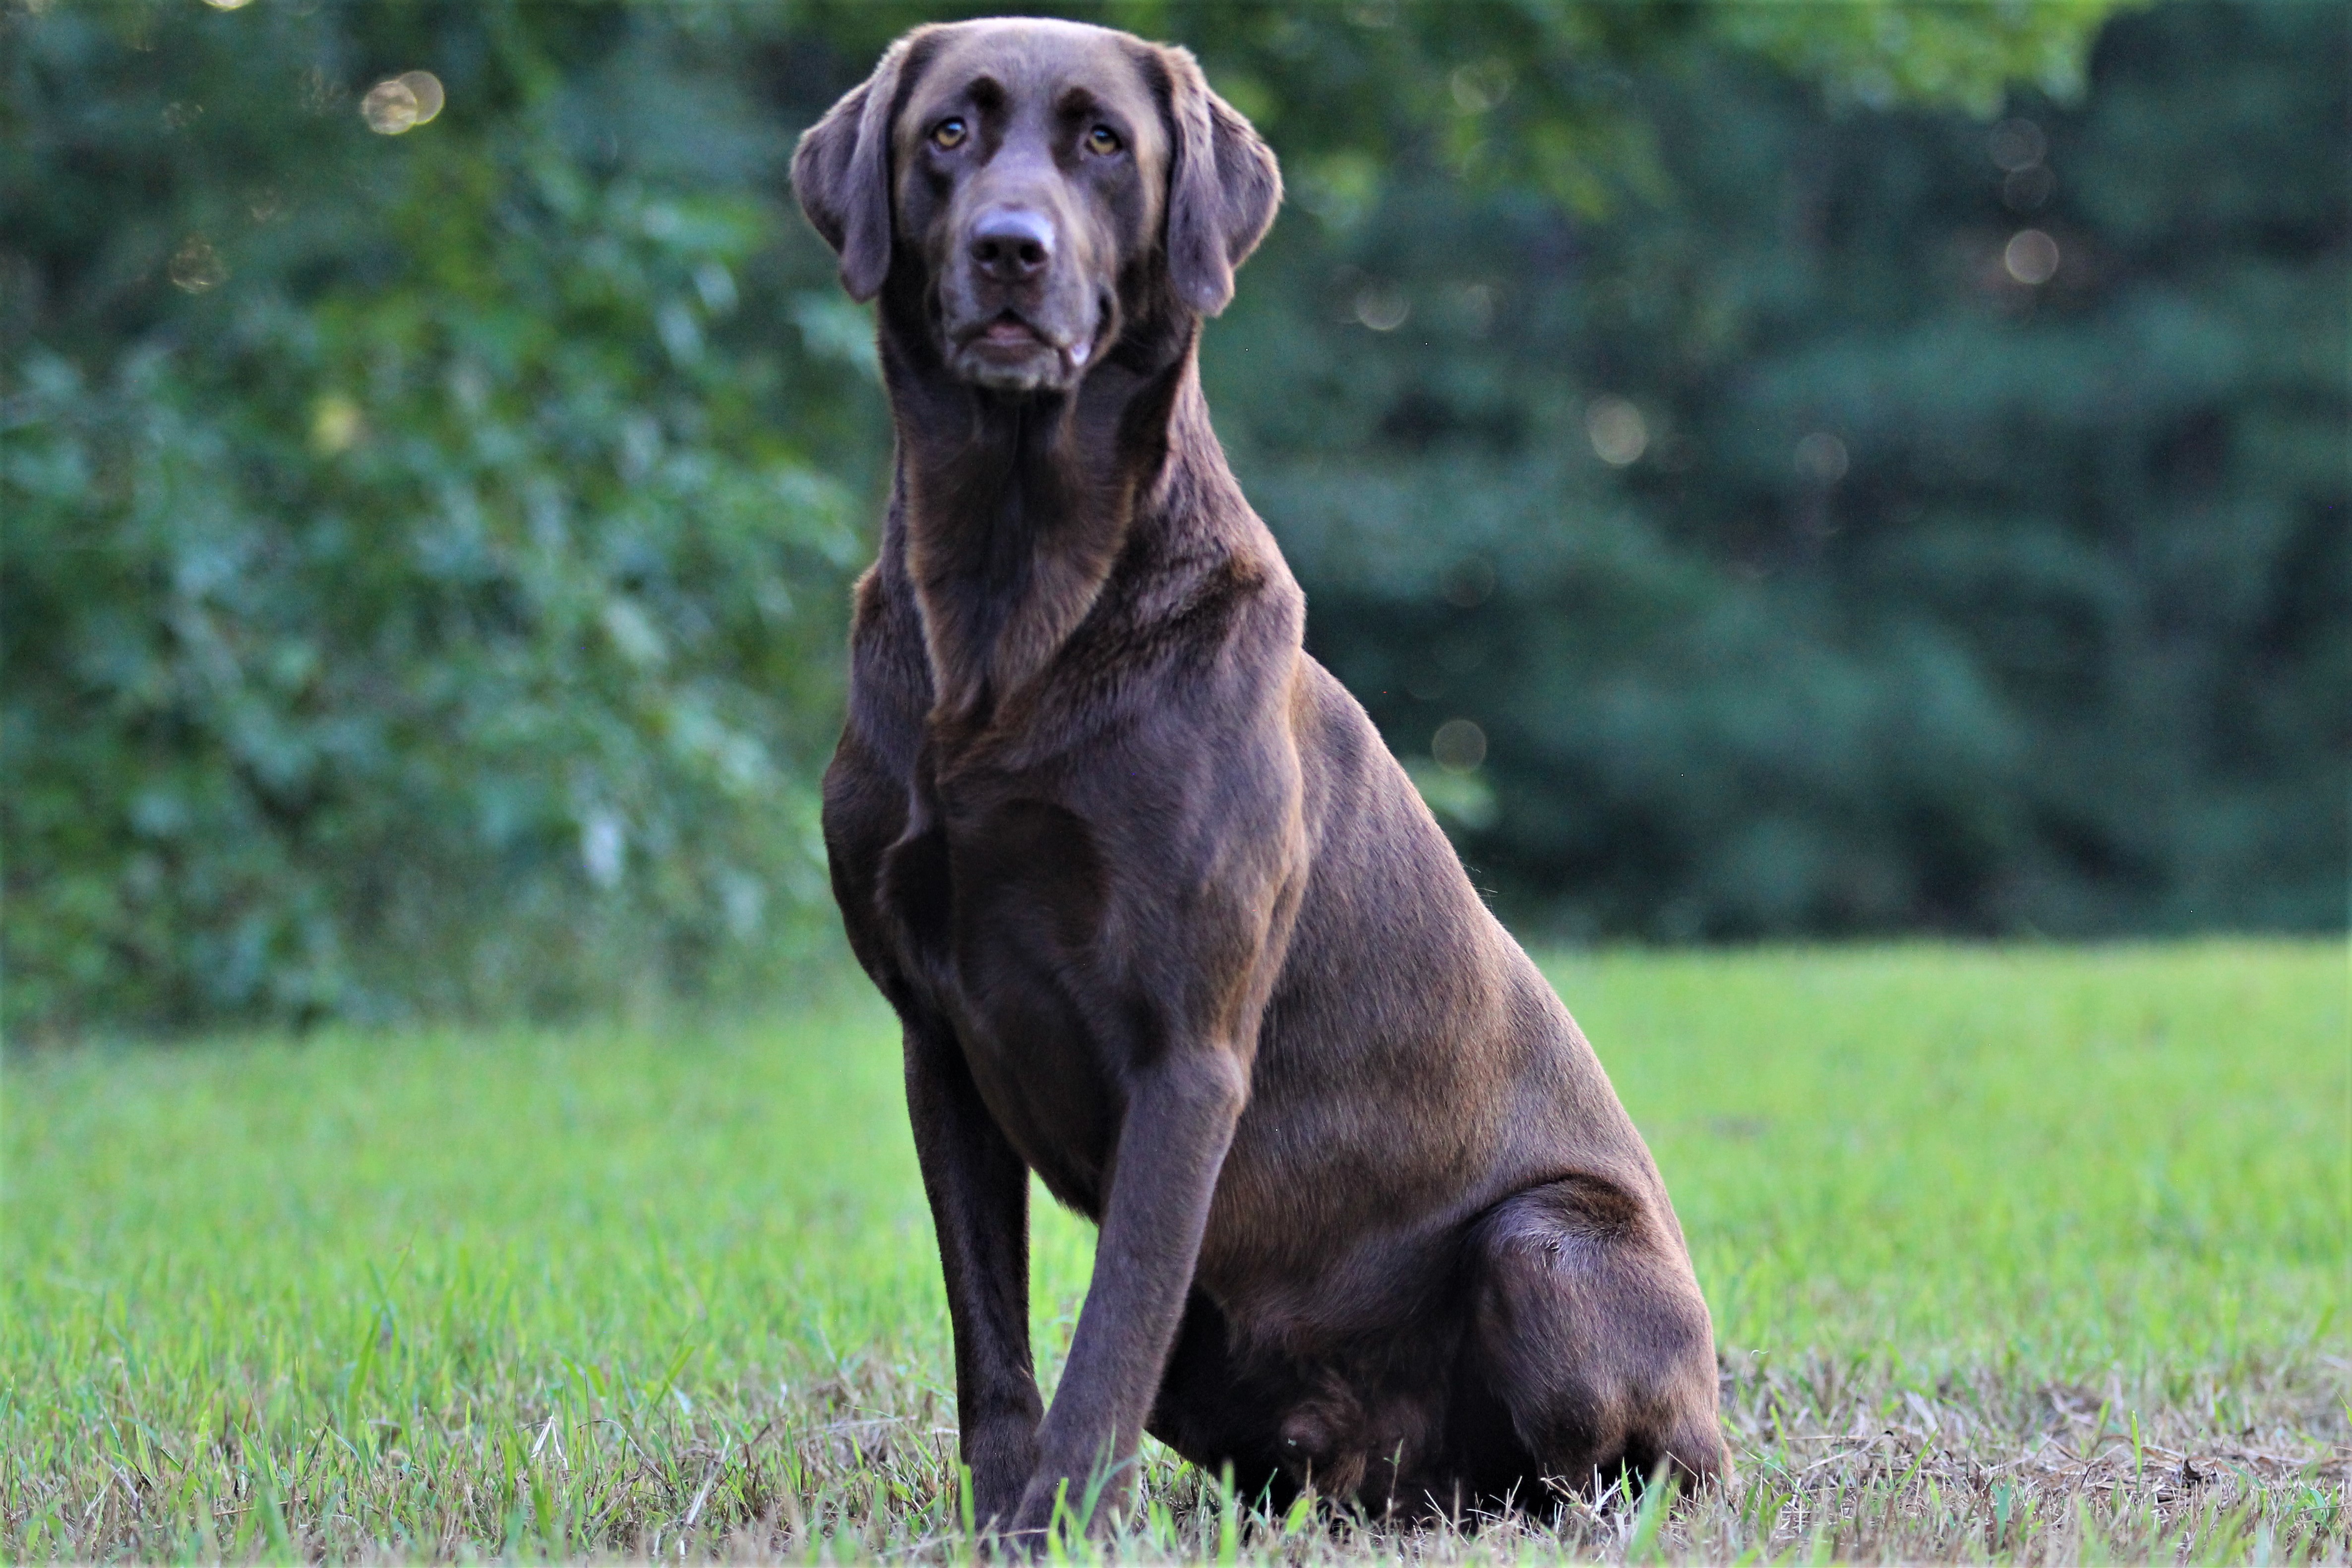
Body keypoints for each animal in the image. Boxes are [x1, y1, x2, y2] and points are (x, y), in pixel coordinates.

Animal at [790, 18, 1731, 1542]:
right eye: (946, 133)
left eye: (1101, 141)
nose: (1008, 250)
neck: (1009, 598)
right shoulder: (935, 1036)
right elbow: (991, 1336)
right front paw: (1001, 1520)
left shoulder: (1187, 1048)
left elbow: (1108, 1329)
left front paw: (1060, 1527)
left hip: (1547, 1247)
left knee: (1620, 1467)